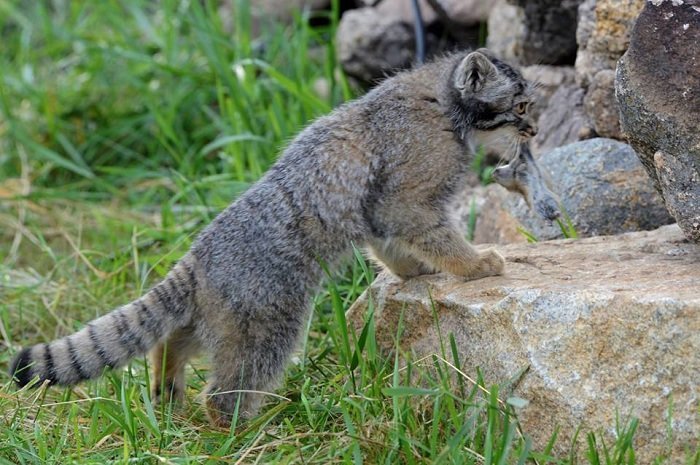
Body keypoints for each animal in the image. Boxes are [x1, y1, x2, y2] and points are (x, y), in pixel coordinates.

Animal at [12, 49, 540, 426]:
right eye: (520, 105)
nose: (535, 129)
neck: (442, 104)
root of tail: (196, 258)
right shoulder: (406, 196)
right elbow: (434, 234)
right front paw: (475, 265)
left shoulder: (376, 211)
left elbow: (391, 247)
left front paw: (415, 270)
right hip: (268, 326)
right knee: (222, 393)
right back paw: (240, 430)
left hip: (221, 320)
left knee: (172, 341)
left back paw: (168, 391)